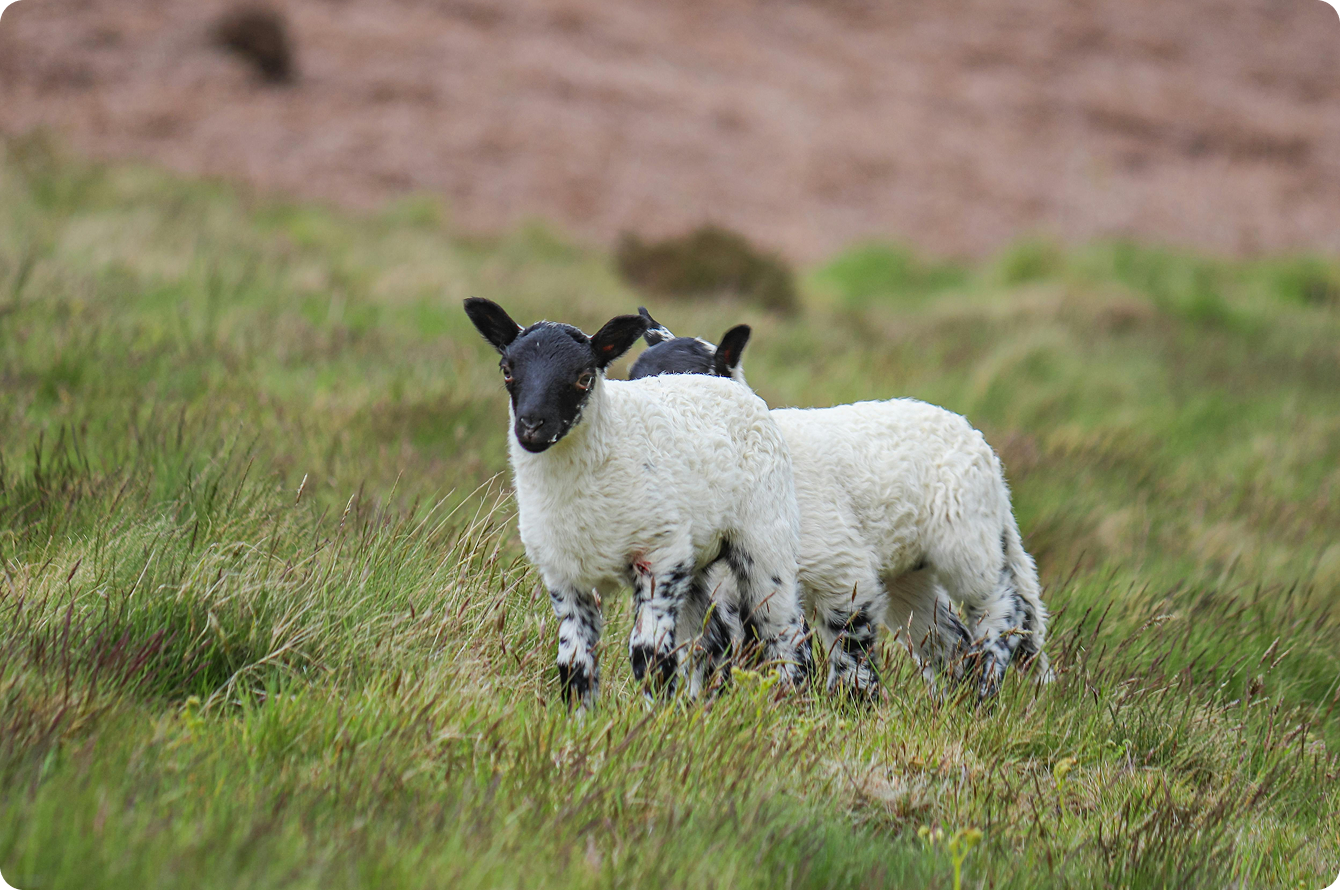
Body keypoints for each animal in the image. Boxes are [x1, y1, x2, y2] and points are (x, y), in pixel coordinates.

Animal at [462, 298, 813, 709]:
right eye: (507, 371)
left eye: (585, 377)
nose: (532, 426)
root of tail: (728, 384)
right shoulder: (562, 572)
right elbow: (574, 662)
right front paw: (581, 718)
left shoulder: (660, 557)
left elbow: (649, 656)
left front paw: (653, 717)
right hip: (697, 560)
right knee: (713, 640)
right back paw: (702, 706)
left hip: (764, 539)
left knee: (785, 633)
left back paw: (792, 705)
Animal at [629, 309, 1053, 697]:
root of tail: (984, 448)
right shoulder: (719, 589)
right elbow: (713, 655)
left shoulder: (839, 566)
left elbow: (841, 648)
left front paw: (844, 708)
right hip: (910, 570)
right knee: (946, 635)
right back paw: (956, 702)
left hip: (965, 536)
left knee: (1000, 607)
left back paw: (985, 690)